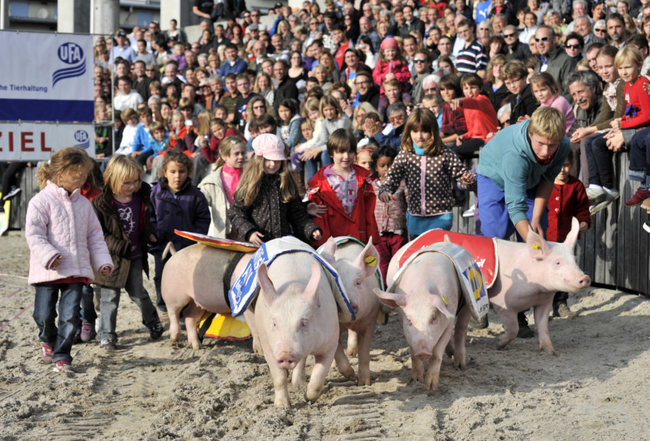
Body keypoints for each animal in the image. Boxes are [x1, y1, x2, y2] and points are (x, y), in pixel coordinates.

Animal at [318, 237, 380, 384]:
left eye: (358, 282)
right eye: (333, 284)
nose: (349, 304)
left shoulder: (370, 319)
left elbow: (364, 352)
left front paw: (364, 383)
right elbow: (337, 351)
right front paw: (350, 375)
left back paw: (352, 353)